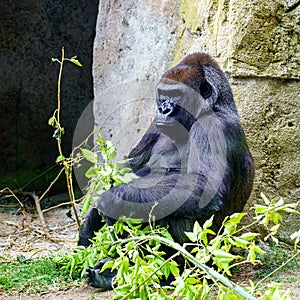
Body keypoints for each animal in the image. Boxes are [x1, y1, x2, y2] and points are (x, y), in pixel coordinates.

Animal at [77, 52, 253, 290]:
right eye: (162, 95)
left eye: (177, 95)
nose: (164, 109)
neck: (210, 108)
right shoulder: (155, 124)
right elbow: (126, 170)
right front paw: (87, 232)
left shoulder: (214, 126)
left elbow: (202, 187)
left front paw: (114, 198)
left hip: (210, 256)